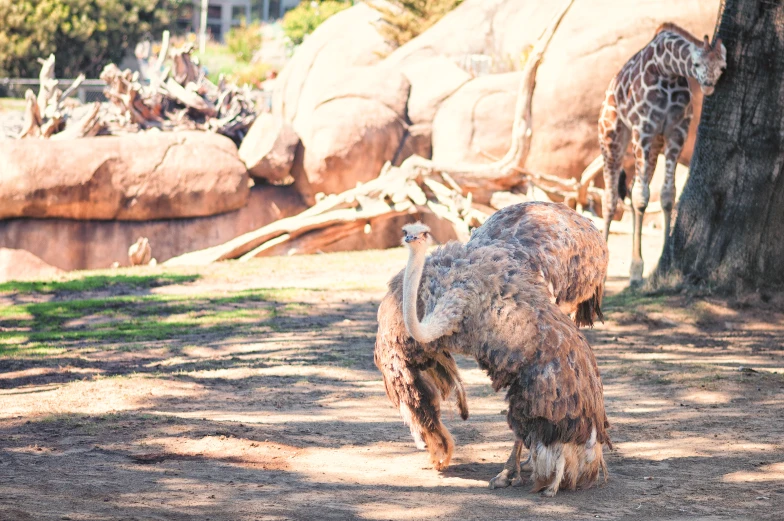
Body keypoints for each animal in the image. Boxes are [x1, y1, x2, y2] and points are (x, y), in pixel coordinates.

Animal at [600, 23, 728, 284]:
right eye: (696, 64)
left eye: (722, 67)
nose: (708, 85)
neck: (666, 69)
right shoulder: (643, 129)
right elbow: (641, 197)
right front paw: (636, 269)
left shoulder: (676, 132)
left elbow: (667, 196)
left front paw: (661, 259)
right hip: (612, 136)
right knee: (610, 198)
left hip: (653, 149)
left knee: (631, 190)